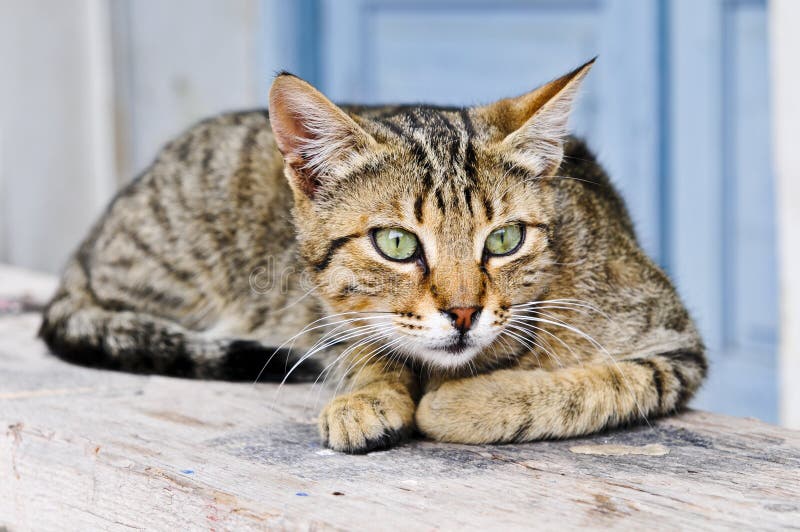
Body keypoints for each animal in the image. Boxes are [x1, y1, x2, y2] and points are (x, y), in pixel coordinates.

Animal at [42, 61, 708, 454]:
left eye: (504, 240)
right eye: (397, 244)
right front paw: (369, 396)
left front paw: (468, 403)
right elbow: (361, 345)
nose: (464, 312)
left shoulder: (675, 349)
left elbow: (592, 385)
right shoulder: (326, 313)